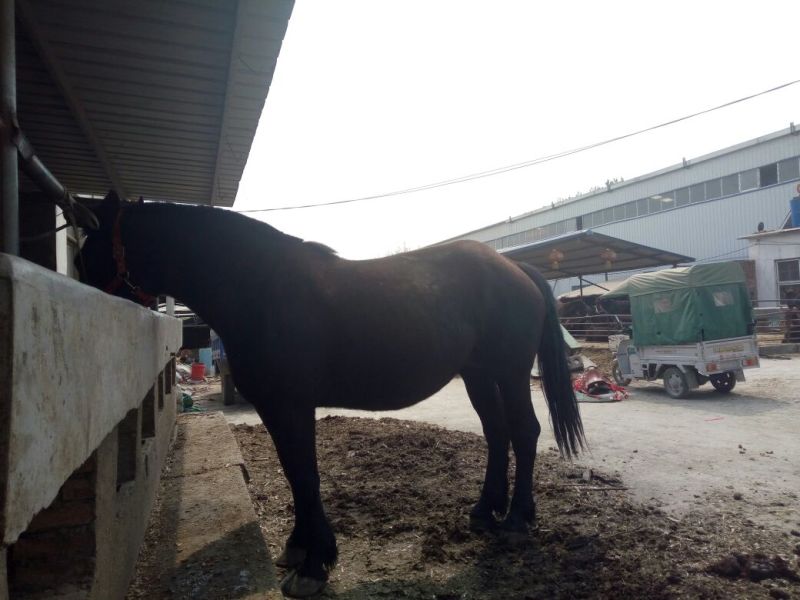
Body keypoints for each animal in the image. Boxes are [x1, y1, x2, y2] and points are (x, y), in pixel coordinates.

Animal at [76, 191, 585, 598]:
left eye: (86, 256)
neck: (259, 287)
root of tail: (516, 267)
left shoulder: (293, 406)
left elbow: (306, 476)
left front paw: (315, 563)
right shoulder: (274, 408)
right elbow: (294, 474)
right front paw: (300, 547)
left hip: (510, 373)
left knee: (524, 431)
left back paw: (517, 519)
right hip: (479, 375)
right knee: (498, 434)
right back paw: (485, 510)